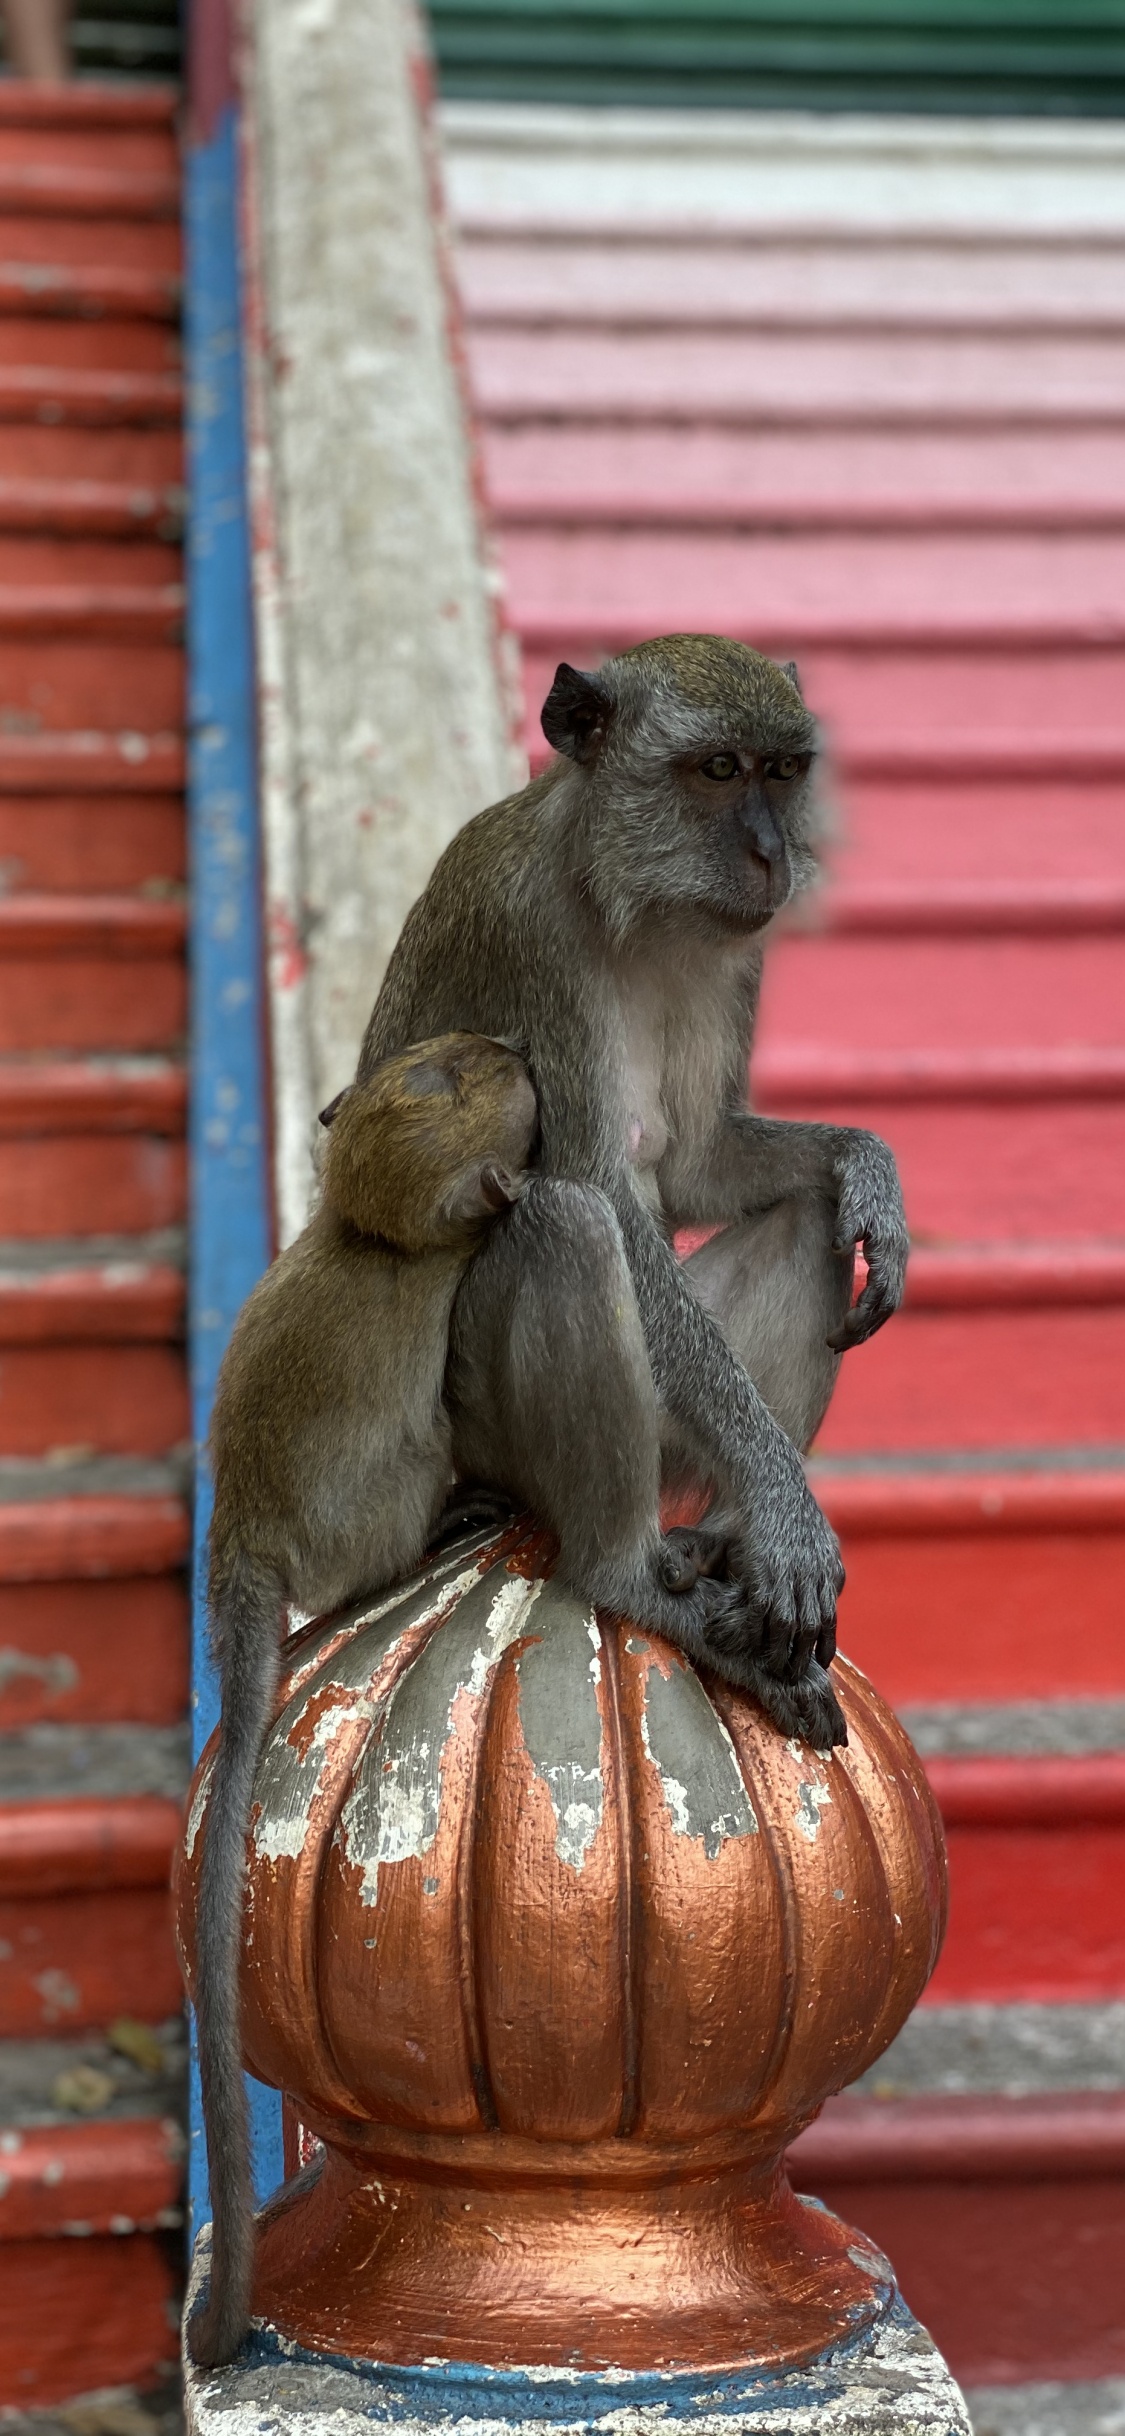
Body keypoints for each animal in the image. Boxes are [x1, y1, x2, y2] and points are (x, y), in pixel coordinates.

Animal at [188, 1033, 542, 2370]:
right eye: (482, 1080)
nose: (518, 1048)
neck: (363, 1230)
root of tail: (239, 1545)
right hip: (384, 1496)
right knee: (403, 1494)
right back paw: (445, 1525)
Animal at [358, 636, 909, 1740]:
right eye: (718, 771)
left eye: (780, 771)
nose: (772, 856)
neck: (626, 900)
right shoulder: (526, 935)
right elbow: (602, 1191)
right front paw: (785, 1506)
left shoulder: (733, 956)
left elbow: (698, 1167)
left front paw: (869, 1167)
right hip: (489, 1437)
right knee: (566, 1226)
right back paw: (628, 1573)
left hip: (672, 1435)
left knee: (809, 1219)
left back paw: (727, 1539)